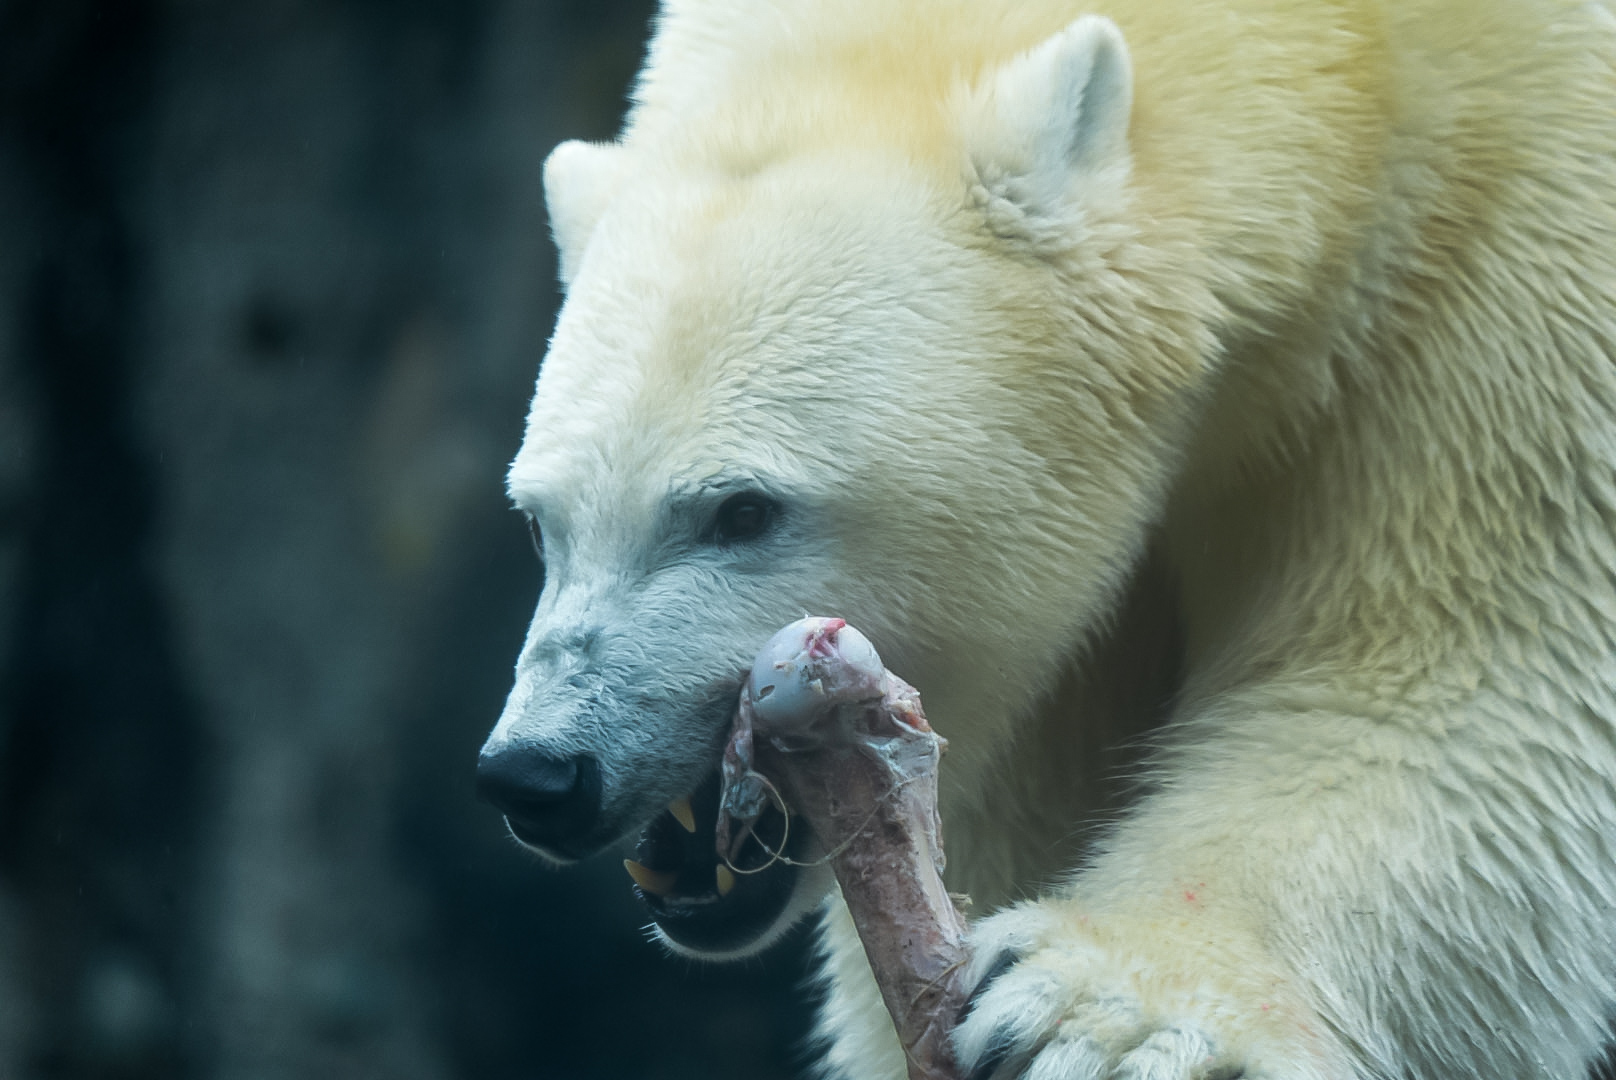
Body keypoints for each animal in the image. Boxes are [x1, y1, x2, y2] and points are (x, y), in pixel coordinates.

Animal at [475, 0, 1616, 1076]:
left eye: (741, 510)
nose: (541, 774)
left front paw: (1096, 1018)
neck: (1336, 50)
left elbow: (1448, 680)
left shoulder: (1509, 250)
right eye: (539, 519)